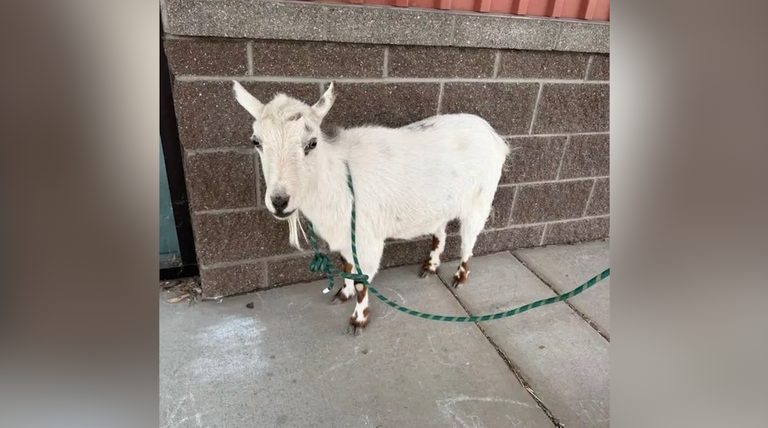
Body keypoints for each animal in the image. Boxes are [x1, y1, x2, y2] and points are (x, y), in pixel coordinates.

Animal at [232, 81, 509, 331]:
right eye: (256, 141)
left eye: (312, 143)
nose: (279, 201)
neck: (337, 178)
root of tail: (494, 136)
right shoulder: (346, 234)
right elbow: (346, 267)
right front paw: (342, 295)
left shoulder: (367, 238)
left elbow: (361, 281)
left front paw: (358, 320)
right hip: (440, 204)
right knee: (439, 232)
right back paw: (429, 267)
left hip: (481, 199)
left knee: (468, 241)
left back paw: (460, 277)